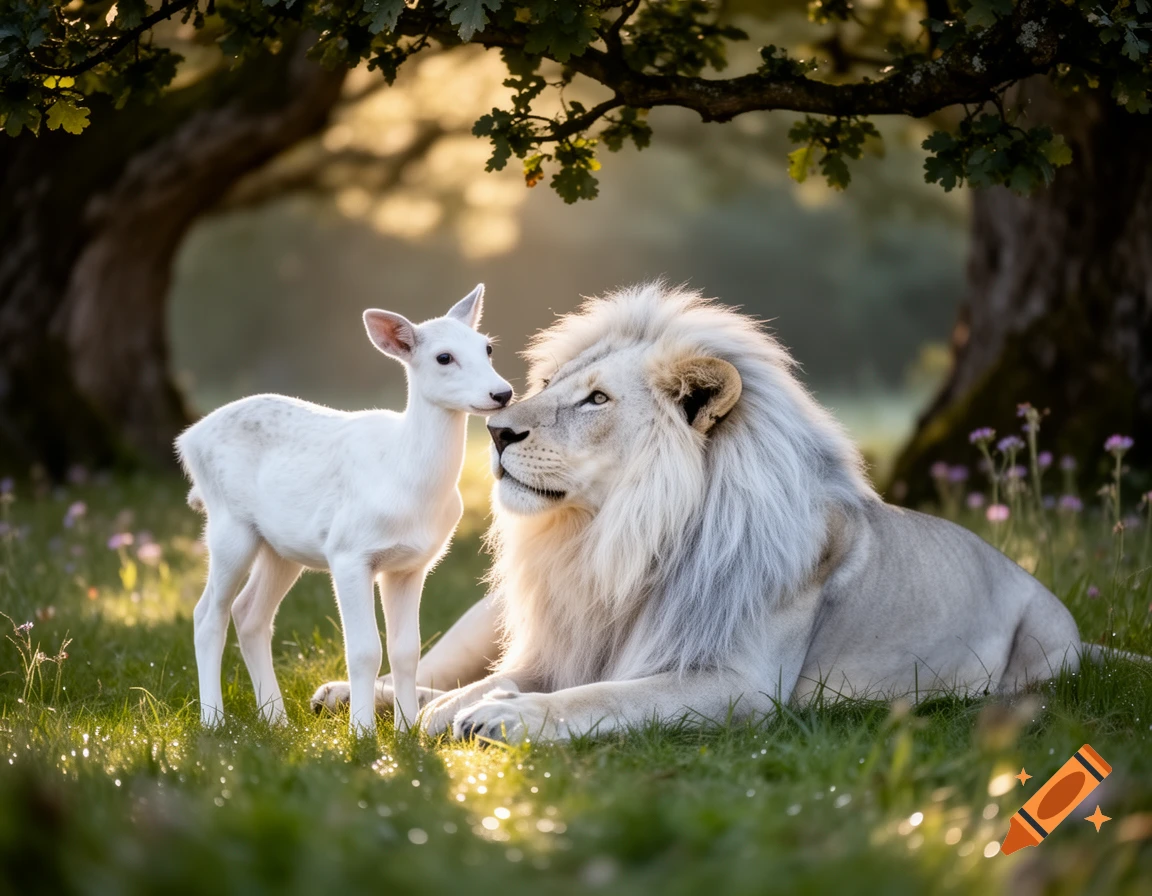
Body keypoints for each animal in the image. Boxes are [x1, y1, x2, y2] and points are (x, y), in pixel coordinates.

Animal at [311, 282, 1097, 742]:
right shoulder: (556, 644)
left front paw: (504, 714)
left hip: (1045, 654)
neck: (614, 543)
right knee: (426, 661)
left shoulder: (741, 687)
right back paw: (357, 694)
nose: (498, 431)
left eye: (596, 399)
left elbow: (596, 698)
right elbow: (493, 677)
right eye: (551, 383)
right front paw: (453, 707)